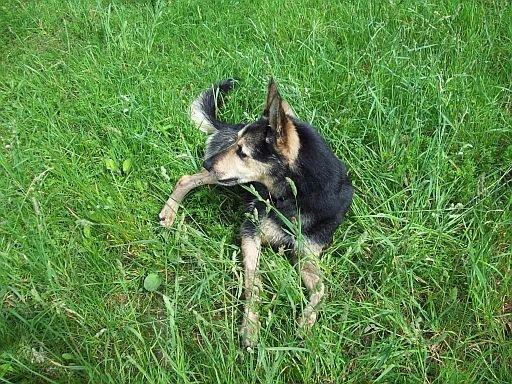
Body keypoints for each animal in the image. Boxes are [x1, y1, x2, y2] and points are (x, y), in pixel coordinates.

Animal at [159, 79, 352, 346]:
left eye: (243, 152)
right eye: (237, 145)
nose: (207, 162)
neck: (297, 197)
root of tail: (229, 126)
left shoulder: (306, 254)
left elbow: (321, 289)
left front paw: (306, 322)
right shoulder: (250, 232)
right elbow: (255, 282)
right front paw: (251, 326)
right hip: (222, 178)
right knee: (185, 179)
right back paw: (169, 212)